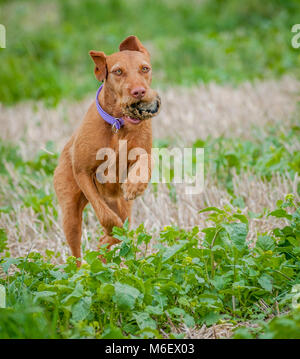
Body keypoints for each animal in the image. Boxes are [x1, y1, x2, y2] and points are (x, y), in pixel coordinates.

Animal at [54, 35, 162, 262]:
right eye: (118, 71)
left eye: (145, 68)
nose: (139, 92)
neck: (118, 126)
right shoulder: (83, 173)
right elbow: (107, 219)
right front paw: (111, 233)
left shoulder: (141, 153)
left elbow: (146, 161)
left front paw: (136, 185)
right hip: (70, 214)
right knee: (77, 254)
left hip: (120, 204)